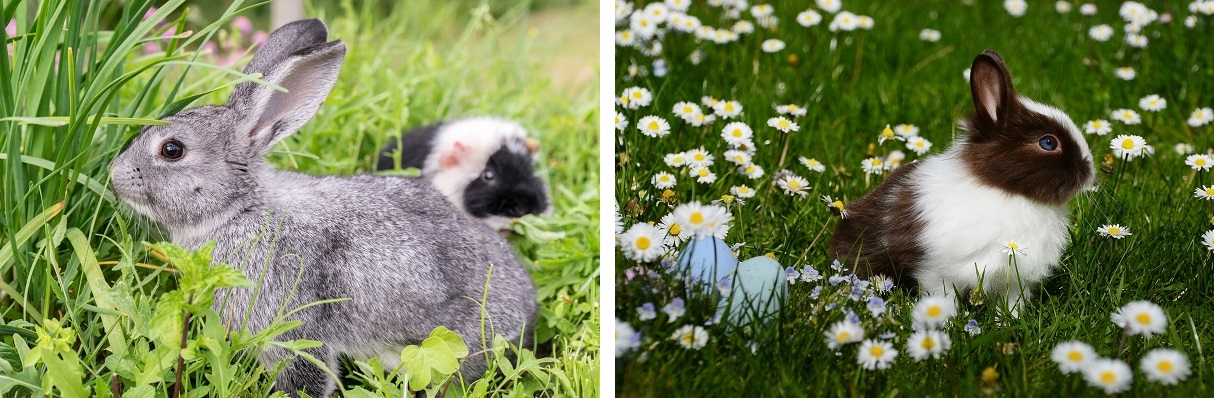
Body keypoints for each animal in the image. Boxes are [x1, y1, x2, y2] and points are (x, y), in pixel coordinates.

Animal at [109, 19, 536, 398]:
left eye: (172, 149)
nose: (115, 175)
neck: (240, 208)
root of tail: (529, 308)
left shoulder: (289, 324)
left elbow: (305, 374)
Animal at [830, 49, 1097, 315]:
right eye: (1048, 143)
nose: (1089, 171)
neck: (1006, 191)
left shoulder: (1013, 280)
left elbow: (1011, 303)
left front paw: (1008, 320)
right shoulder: (937, 272)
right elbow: (942, 299)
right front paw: (945, 321)